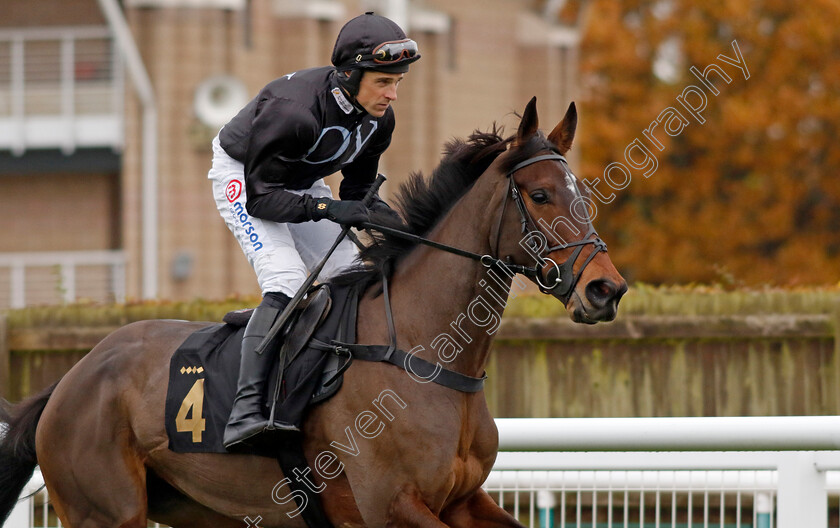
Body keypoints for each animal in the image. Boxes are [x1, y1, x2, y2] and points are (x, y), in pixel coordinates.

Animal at [0, 99, 624, 528]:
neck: (425, 353)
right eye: (540, 195)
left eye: (581, 193)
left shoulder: (464, 500)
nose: (606, 289)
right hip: (103, 511)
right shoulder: (391, 505)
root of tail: (68, 381)